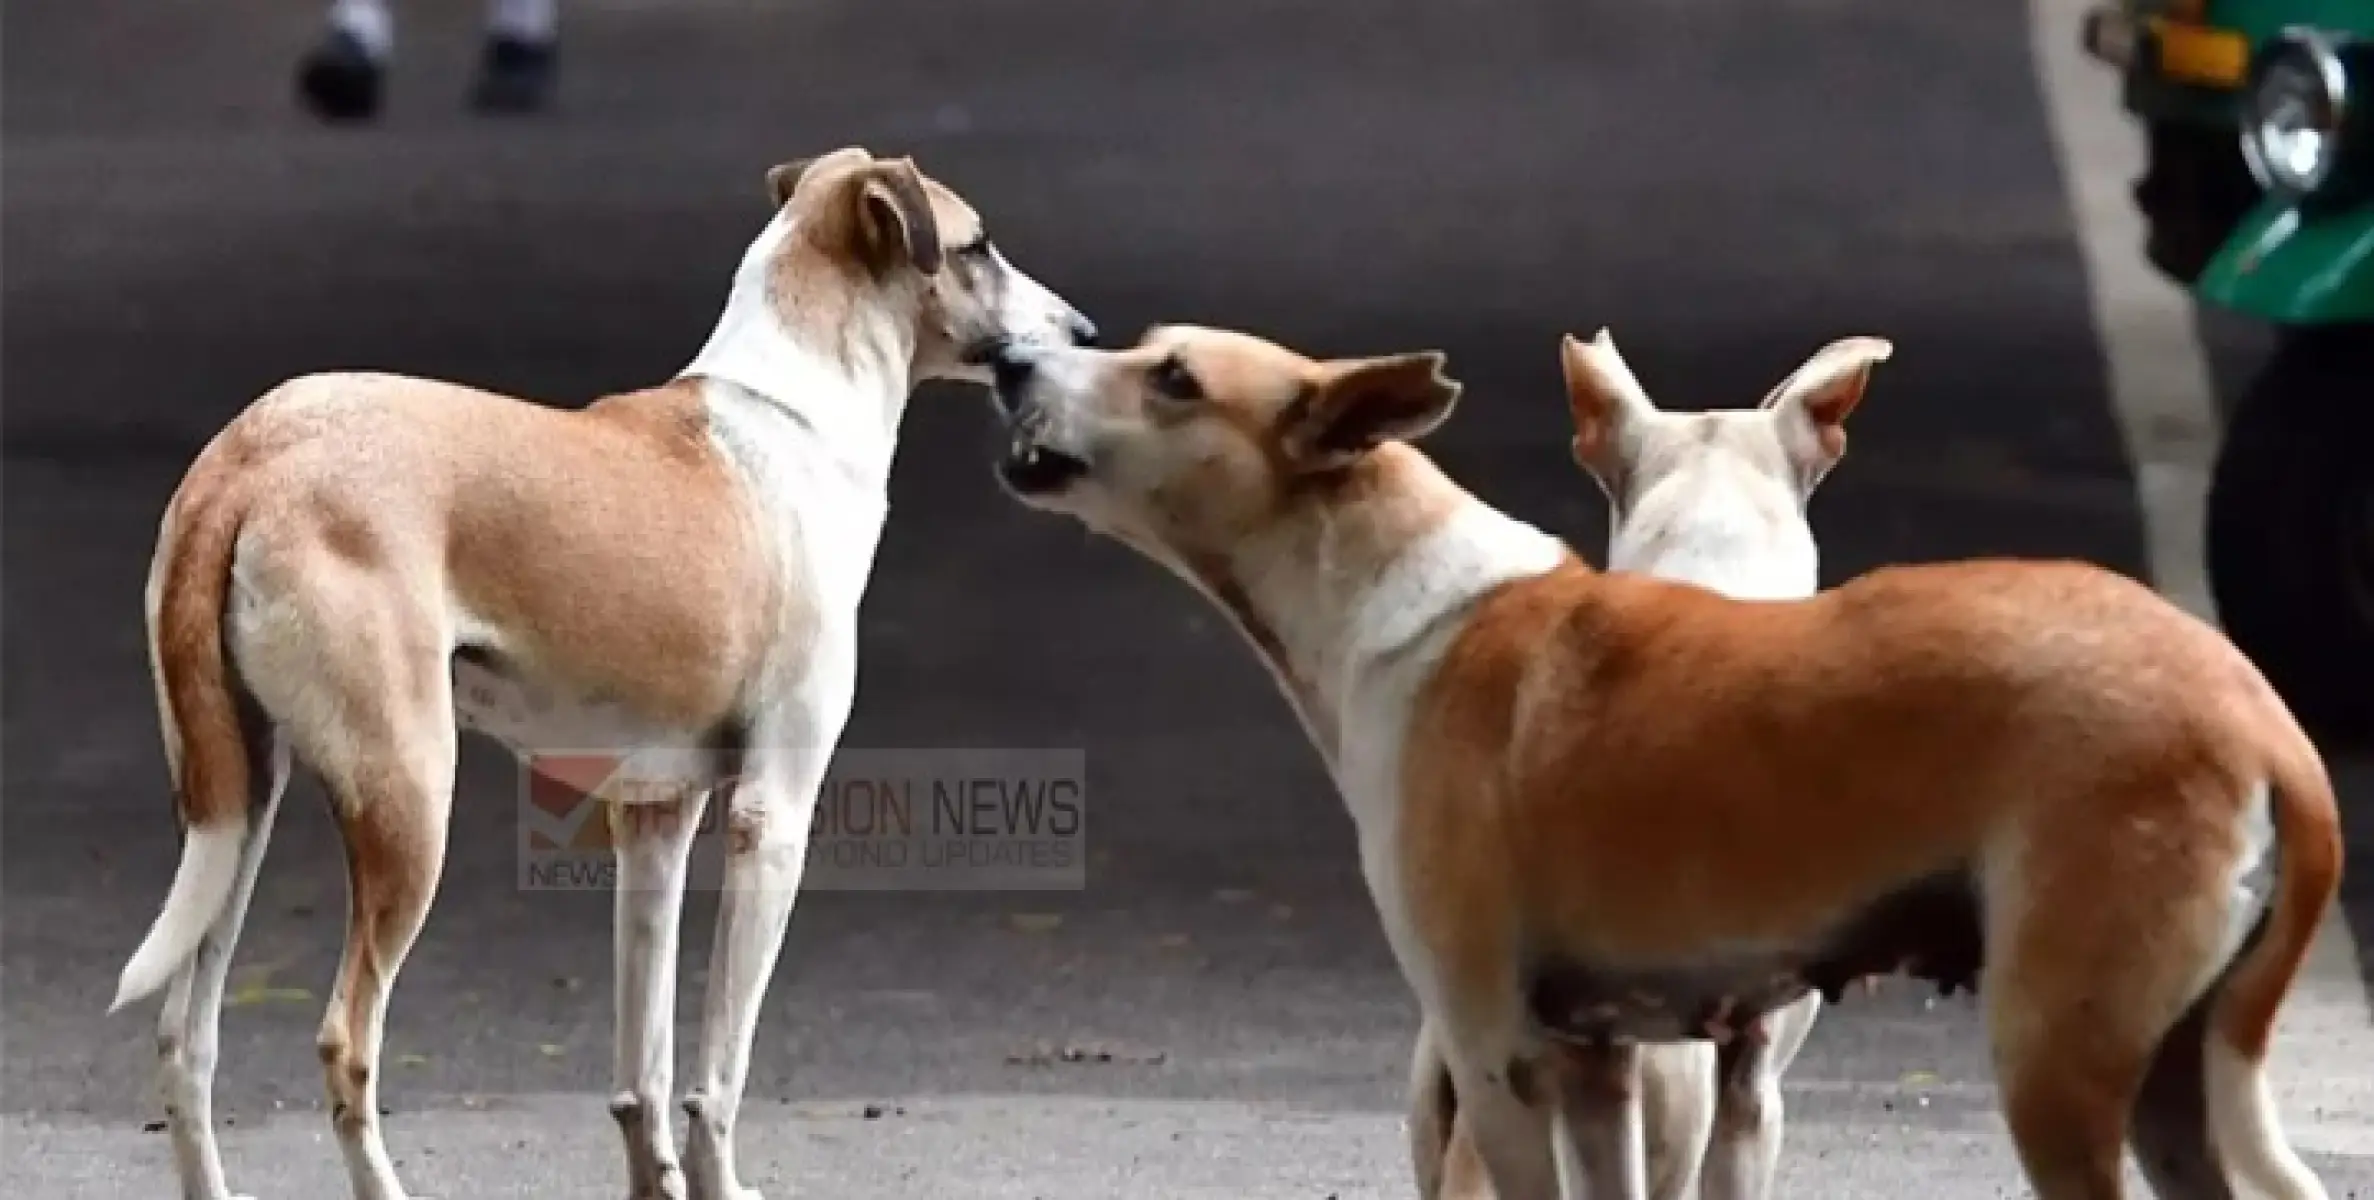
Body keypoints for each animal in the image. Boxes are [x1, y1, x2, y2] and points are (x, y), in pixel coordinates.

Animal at [102, 147, 1087, 1197]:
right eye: (978, 245)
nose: (1083, 335)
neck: (793, 412)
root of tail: (247, 458)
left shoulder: (654, 821)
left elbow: (642, 1069)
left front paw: (657, 1180)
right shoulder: (771, 821)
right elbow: (717, 1072)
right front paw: (719, 1181)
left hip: (238, 808)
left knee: (185, 1039)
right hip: (407, 802)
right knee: (344, 1042)